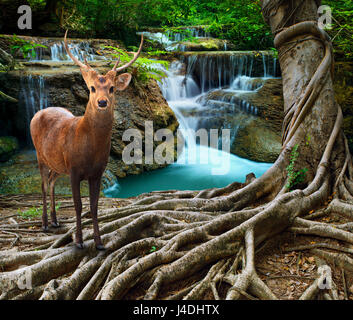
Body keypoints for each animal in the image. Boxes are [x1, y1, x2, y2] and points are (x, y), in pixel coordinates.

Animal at [29, 30, 143, 250]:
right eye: (91, 88)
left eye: (112, 88)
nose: (102, 102)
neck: (90, 149)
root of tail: (37, 113)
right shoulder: (74, 169)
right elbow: (78, 205)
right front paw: (79, 241)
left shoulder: (97, 172)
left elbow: (94, 206)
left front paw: (99, 242)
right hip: (40, 155)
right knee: (43, 185)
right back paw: (45, 224)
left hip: (58, 163)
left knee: (52, 181)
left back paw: (55, 221)